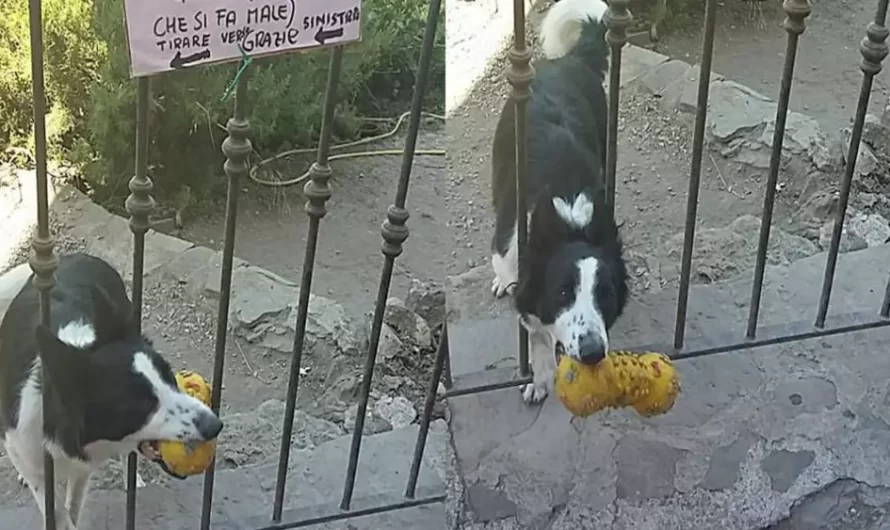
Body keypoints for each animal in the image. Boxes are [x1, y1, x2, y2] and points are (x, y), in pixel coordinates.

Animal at [0, 254, 222, 524]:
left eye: (169, 377)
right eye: (140, 404)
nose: (215, 425)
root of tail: (79, 255)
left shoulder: (82, 468)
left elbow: (72, 508)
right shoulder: (25, 450)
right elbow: (58, 512)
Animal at [490, 0, 628, 404]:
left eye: (605, 293)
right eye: (563, 292)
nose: (594, 352)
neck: (570, 218)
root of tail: (568, 61)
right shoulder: (514, 257)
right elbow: (535, 329)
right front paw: (540, 378)